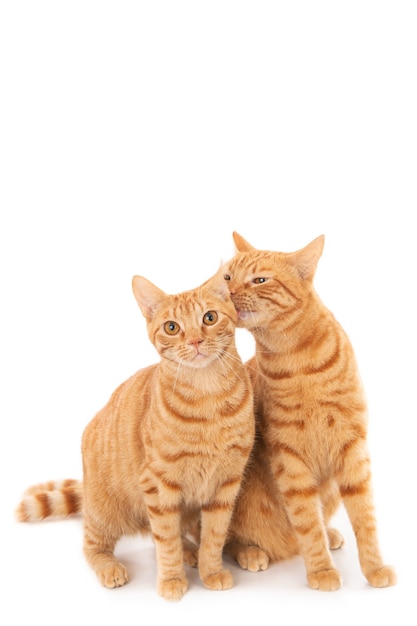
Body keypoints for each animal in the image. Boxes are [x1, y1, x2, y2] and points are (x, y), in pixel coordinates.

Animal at [16, 272, 254, 600]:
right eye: (172, 327)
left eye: (210, 317)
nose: (195, 341)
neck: (208, 396)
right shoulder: (159, 485)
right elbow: (166, 540)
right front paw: (171, 579)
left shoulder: (226, 483)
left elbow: (214, 535)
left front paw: (211, 571)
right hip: (105, 512)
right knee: (94, 545)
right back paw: (111, 567)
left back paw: (193, 552)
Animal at [219, 232, 394, 588]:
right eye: (228, 277)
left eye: (260, 280)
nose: (228, 293)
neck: (298, 361)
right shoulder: (290, 456)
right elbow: (306, 520)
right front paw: (322, 570)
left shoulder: (353, 447)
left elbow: (365, 517)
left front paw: (374, 568)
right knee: (225, 540)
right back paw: (252, 552)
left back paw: (330, 533)